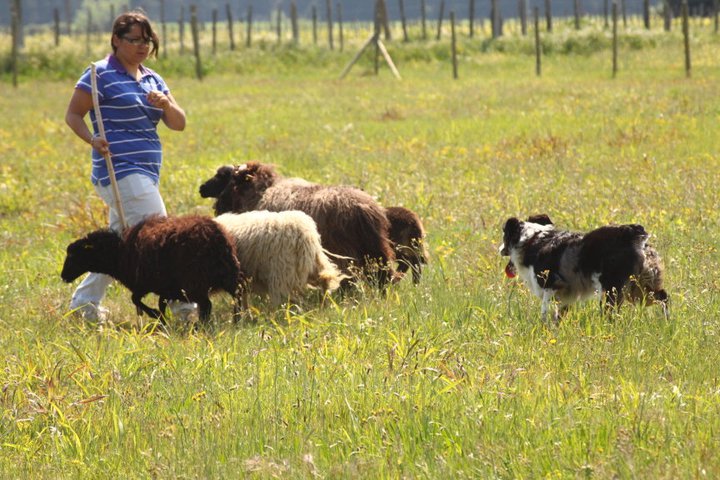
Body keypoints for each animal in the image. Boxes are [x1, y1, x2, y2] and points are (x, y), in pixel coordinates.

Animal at [61, 215, 242, 322]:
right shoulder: (166, 288)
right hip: (229, 276)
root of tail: (215, 237)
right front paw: (162, 321)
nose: (63, 276)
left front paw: (155, 315)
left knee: (207, 305)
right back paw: (236, 319)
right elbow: (160, 304)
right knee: (237, 297)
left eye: (73, 255)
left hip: (196, 282)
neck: (119, 253)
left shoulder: (144, 284)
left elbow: (135, 299)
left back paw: (203, 326)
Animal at [200, 163, 396, 286]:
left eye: (222, 176)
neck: (259, 191)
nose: (201, 188)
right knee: (384, 275)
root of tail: (364, 209)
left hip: (345, 252)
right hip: (376, 249)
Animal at [214, 211, 346, 308]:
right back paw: (325, 305)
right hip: (313, 264)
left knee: (286, 299)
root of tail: (303, 234)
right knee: (325, 280)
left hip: (281, 273)